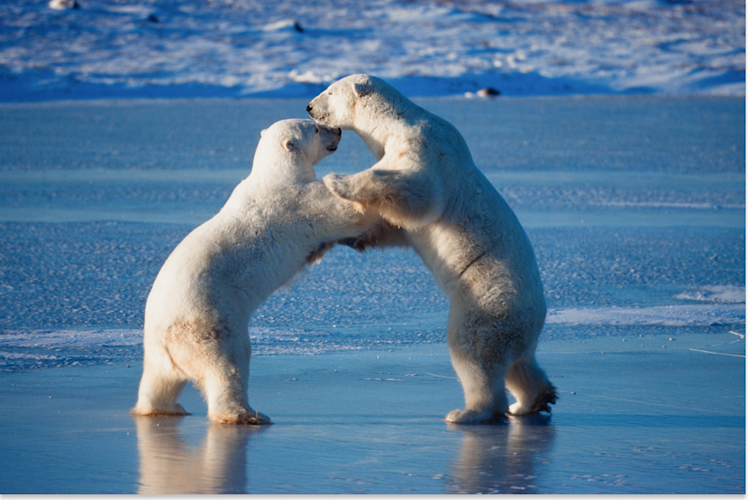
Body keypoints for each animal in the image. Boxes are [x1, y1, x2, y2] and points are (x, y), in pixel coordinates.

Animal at [132, 118, 379, 425]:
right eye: (316, 128)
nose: (339, 131)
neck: (275, 176)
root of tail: (167, 344)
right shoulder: (298, 203)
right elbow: (344, 212)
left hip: (156, 351)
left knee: (158, 382)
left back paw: (165, 408)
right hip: (210, 324)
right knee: (230, 364)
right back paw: (247, 414)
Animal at [307, 75, 557, 424]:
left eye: (329, 91)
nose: (309, 106)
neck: (396, 122)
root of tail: (537, 318)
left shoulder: (423, 147)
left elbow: (418, 191)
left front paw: (337, 180)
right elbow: (394, 226)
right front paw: (343, 237)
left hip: (488, 302)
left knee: (473, 351)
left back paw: (469, 411)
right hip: (515, 326)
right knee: (520, 364)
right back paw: (534, 400)